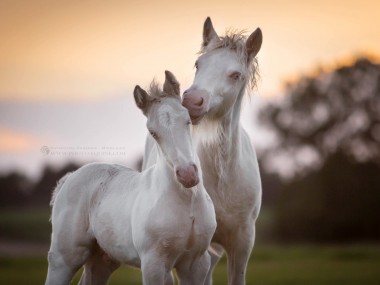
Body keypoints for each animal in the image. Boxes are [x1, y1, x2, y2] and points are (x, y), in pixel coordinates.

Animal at [43, 70, 217, 284]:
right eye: (153, 132)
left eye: (188, 121)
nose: (187, 175)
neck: (187, 201)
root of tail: (69, 179)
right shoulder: (153, 264)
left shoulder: (196, 264)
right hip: (64, 259)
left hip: (102, 260)